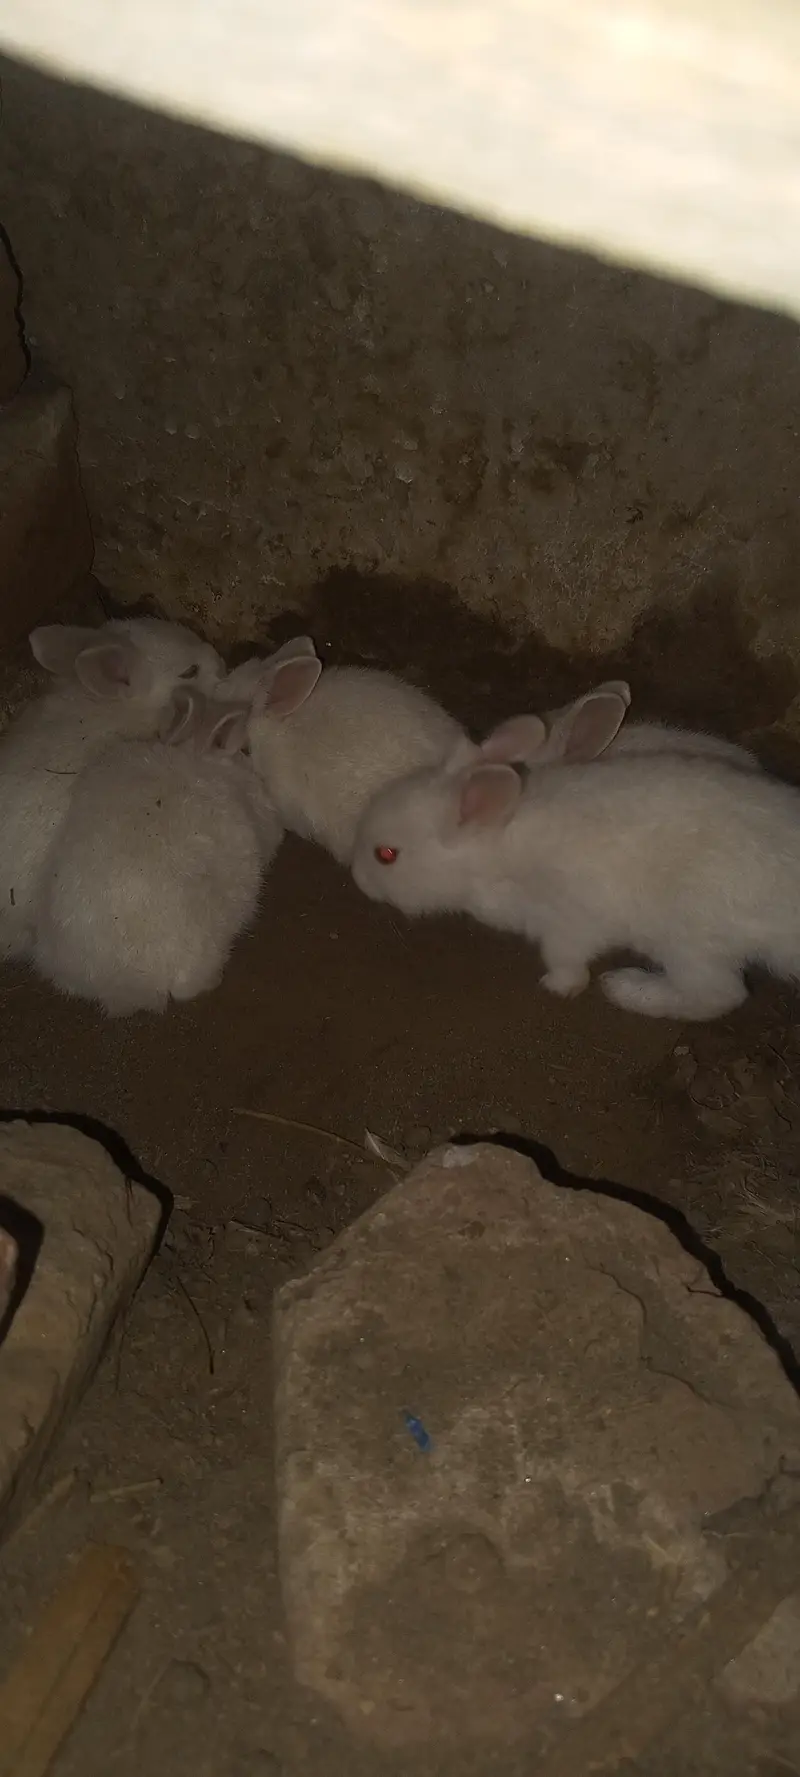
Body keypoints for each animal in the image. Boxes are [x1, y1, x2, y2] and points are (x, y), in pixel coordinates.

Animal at [351, 730, 800, 1021]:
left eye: (386, 855)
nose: (356, 877)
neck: (496, 847)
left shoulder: (568, 921)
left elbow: (565, 957)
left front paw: (559, 986)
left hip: (689, 940)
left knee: (718, 994)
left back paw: (625, 988)